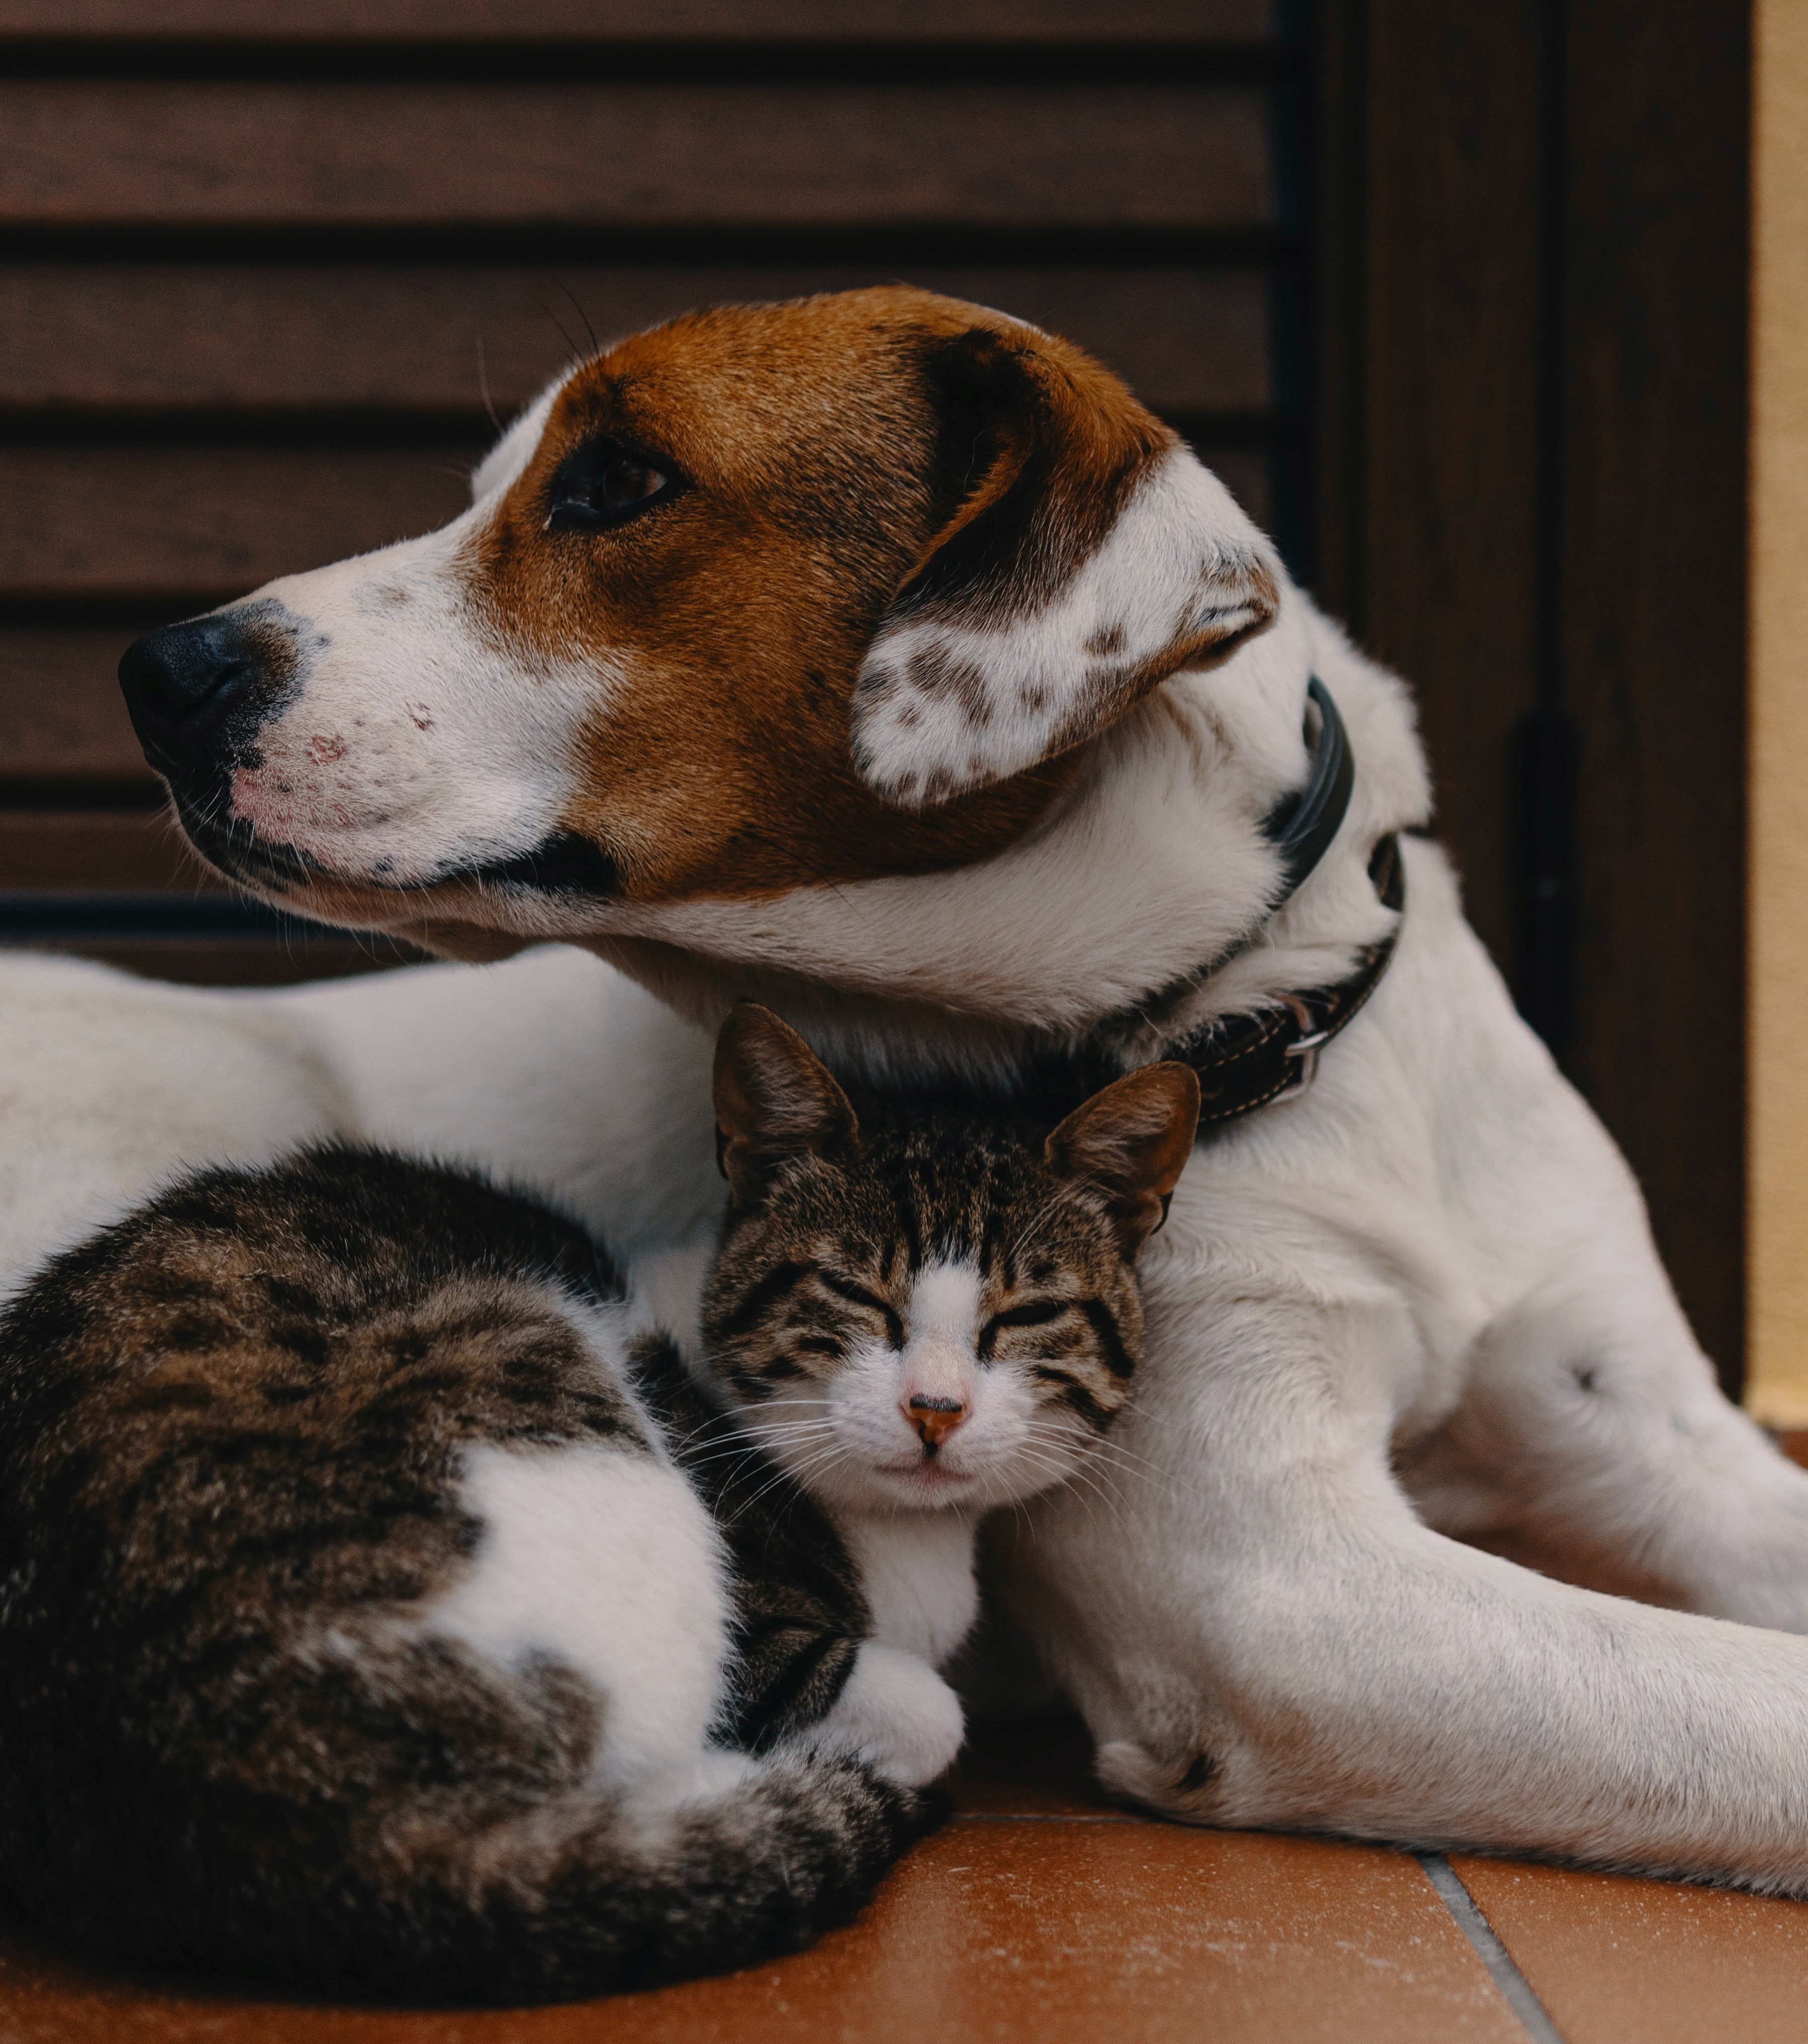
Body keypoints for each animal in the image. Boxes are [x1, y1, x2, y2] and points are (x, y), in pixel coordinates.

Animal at [11, 284, 1805, 1880]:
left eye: (617, 482)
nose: (160, 672)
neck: (1266, 1010)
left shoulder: (1645, 1421)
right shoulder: (1278, 1584)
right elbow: (1743, 1705)